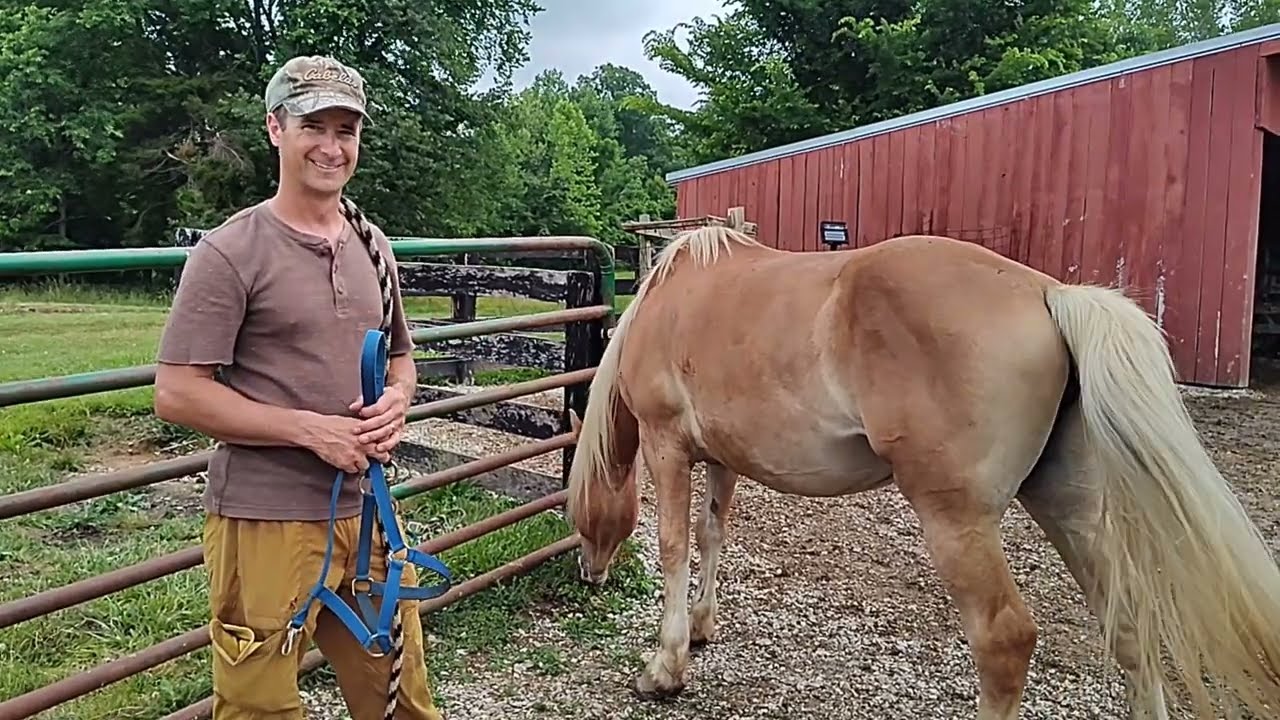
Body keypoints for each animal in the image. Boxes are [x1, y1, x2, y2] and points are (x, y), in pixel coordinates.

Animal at [562, 225, 1280, 720]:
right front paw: (704, 629)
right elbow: (714, 536)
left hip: (956, 520)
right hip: (1067, 503)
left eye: (578, 514)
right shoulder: (722, 460)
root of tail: (1049, 294)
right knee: (1128, 623)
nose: (588, 576)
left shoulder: (668, 447)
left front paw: (664, 669)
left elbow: (676, 546)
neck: (669, 300)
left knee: (1005, 640)